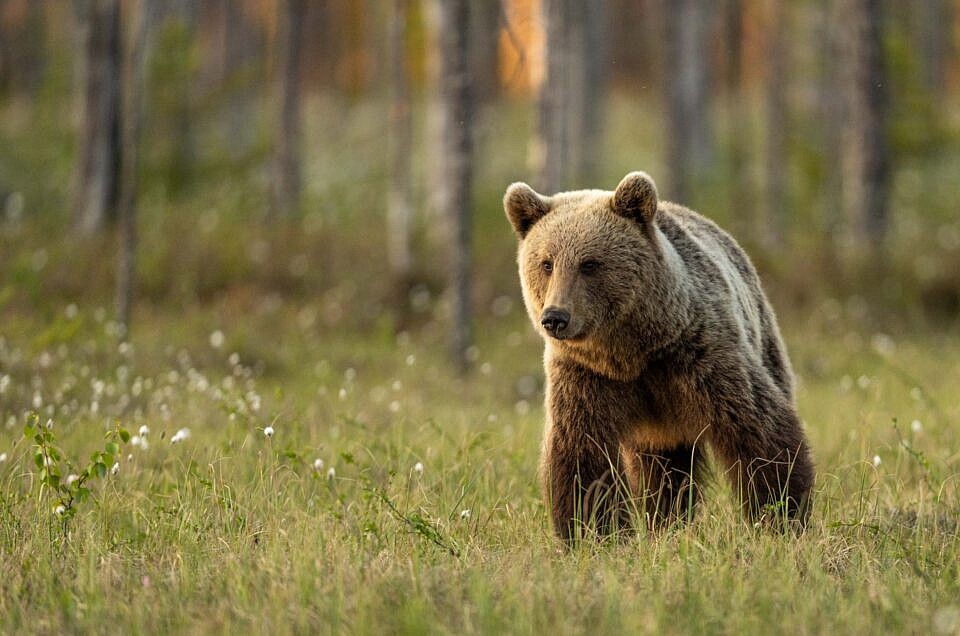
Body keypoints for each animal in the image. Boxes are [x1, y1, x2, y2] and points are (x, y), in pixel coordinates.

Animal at [506, 171, 812, 544]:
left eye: (589, 263)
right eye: (546, 263)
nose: (555, 317)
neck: (631, 352)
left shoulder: (701, 356)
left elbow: (758, 432)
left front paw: (781, 516)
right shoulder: (585, 375)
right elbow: (582, 453)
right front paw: (591, 531)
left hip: (763, 342)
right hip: (659, 431)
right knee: (664, 471)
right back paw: (666, 521)